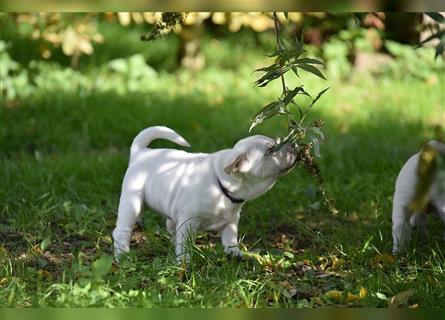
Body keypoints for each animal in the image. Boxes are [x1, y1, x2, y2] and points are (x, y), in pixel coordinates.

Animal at [112, 126, 296, 262]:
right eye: (271, 150)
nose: (293, 145)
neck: (223, 187)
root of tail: (141, 152)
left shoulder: (232, 221)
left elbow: (230, 238)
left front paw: (234, 253)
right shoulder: (188, 221)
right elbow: (185, 246)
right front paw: (184, 264)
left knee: (171, 227)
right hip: (132, 203)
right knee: (122, 231)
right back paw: (123, 256)